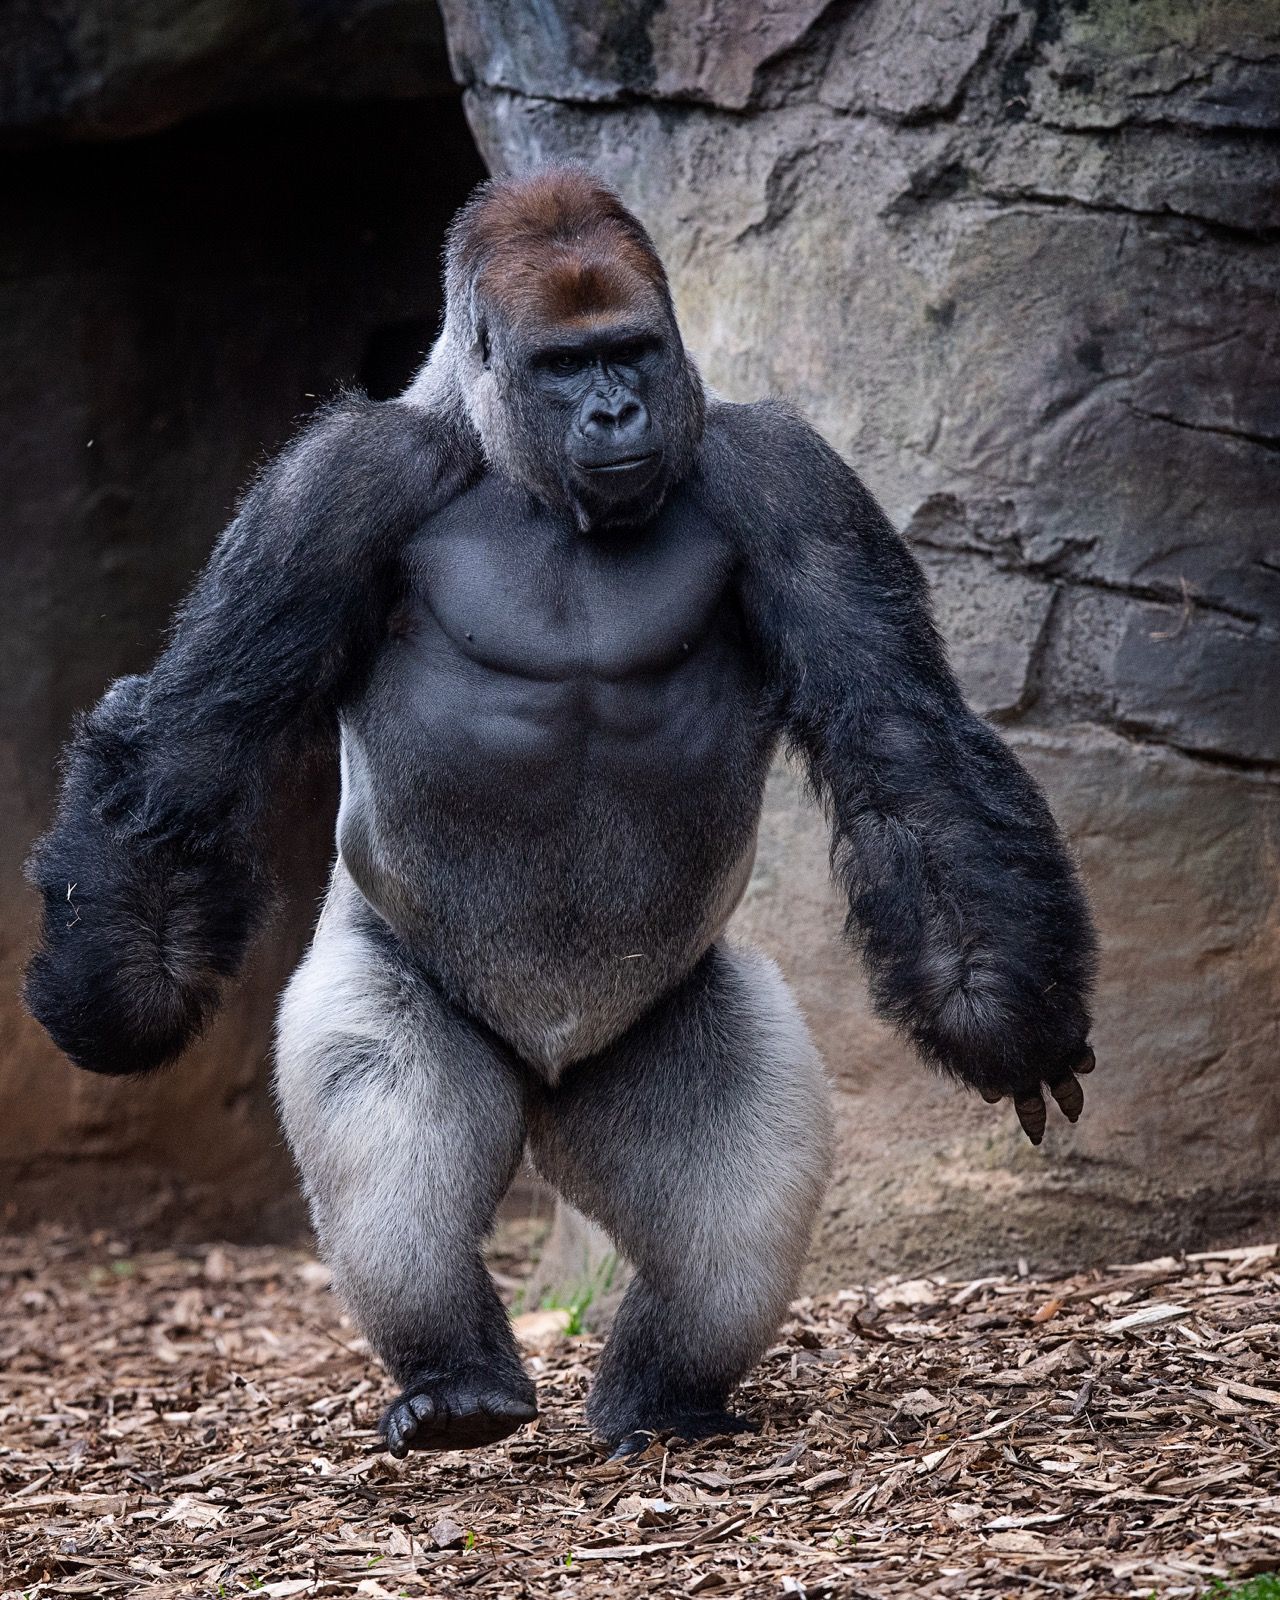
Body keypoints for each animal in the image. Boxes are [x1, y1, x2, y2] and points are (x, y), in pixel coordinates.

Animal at [25, 167, 1097, 1460]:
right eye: (561, 366)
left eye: (629, 351)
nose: (617, 413)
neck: (513, 463)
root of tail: (547, 1088)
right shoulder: (333, 486)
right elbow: (197, 735)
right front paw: (119, 986)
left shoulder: (788, 478)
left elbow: (899, 739)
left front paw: (1006, 1013)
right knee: (396, 1168)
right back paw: (456, 1382)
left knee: (729, 1225)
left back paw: (665, 1396)